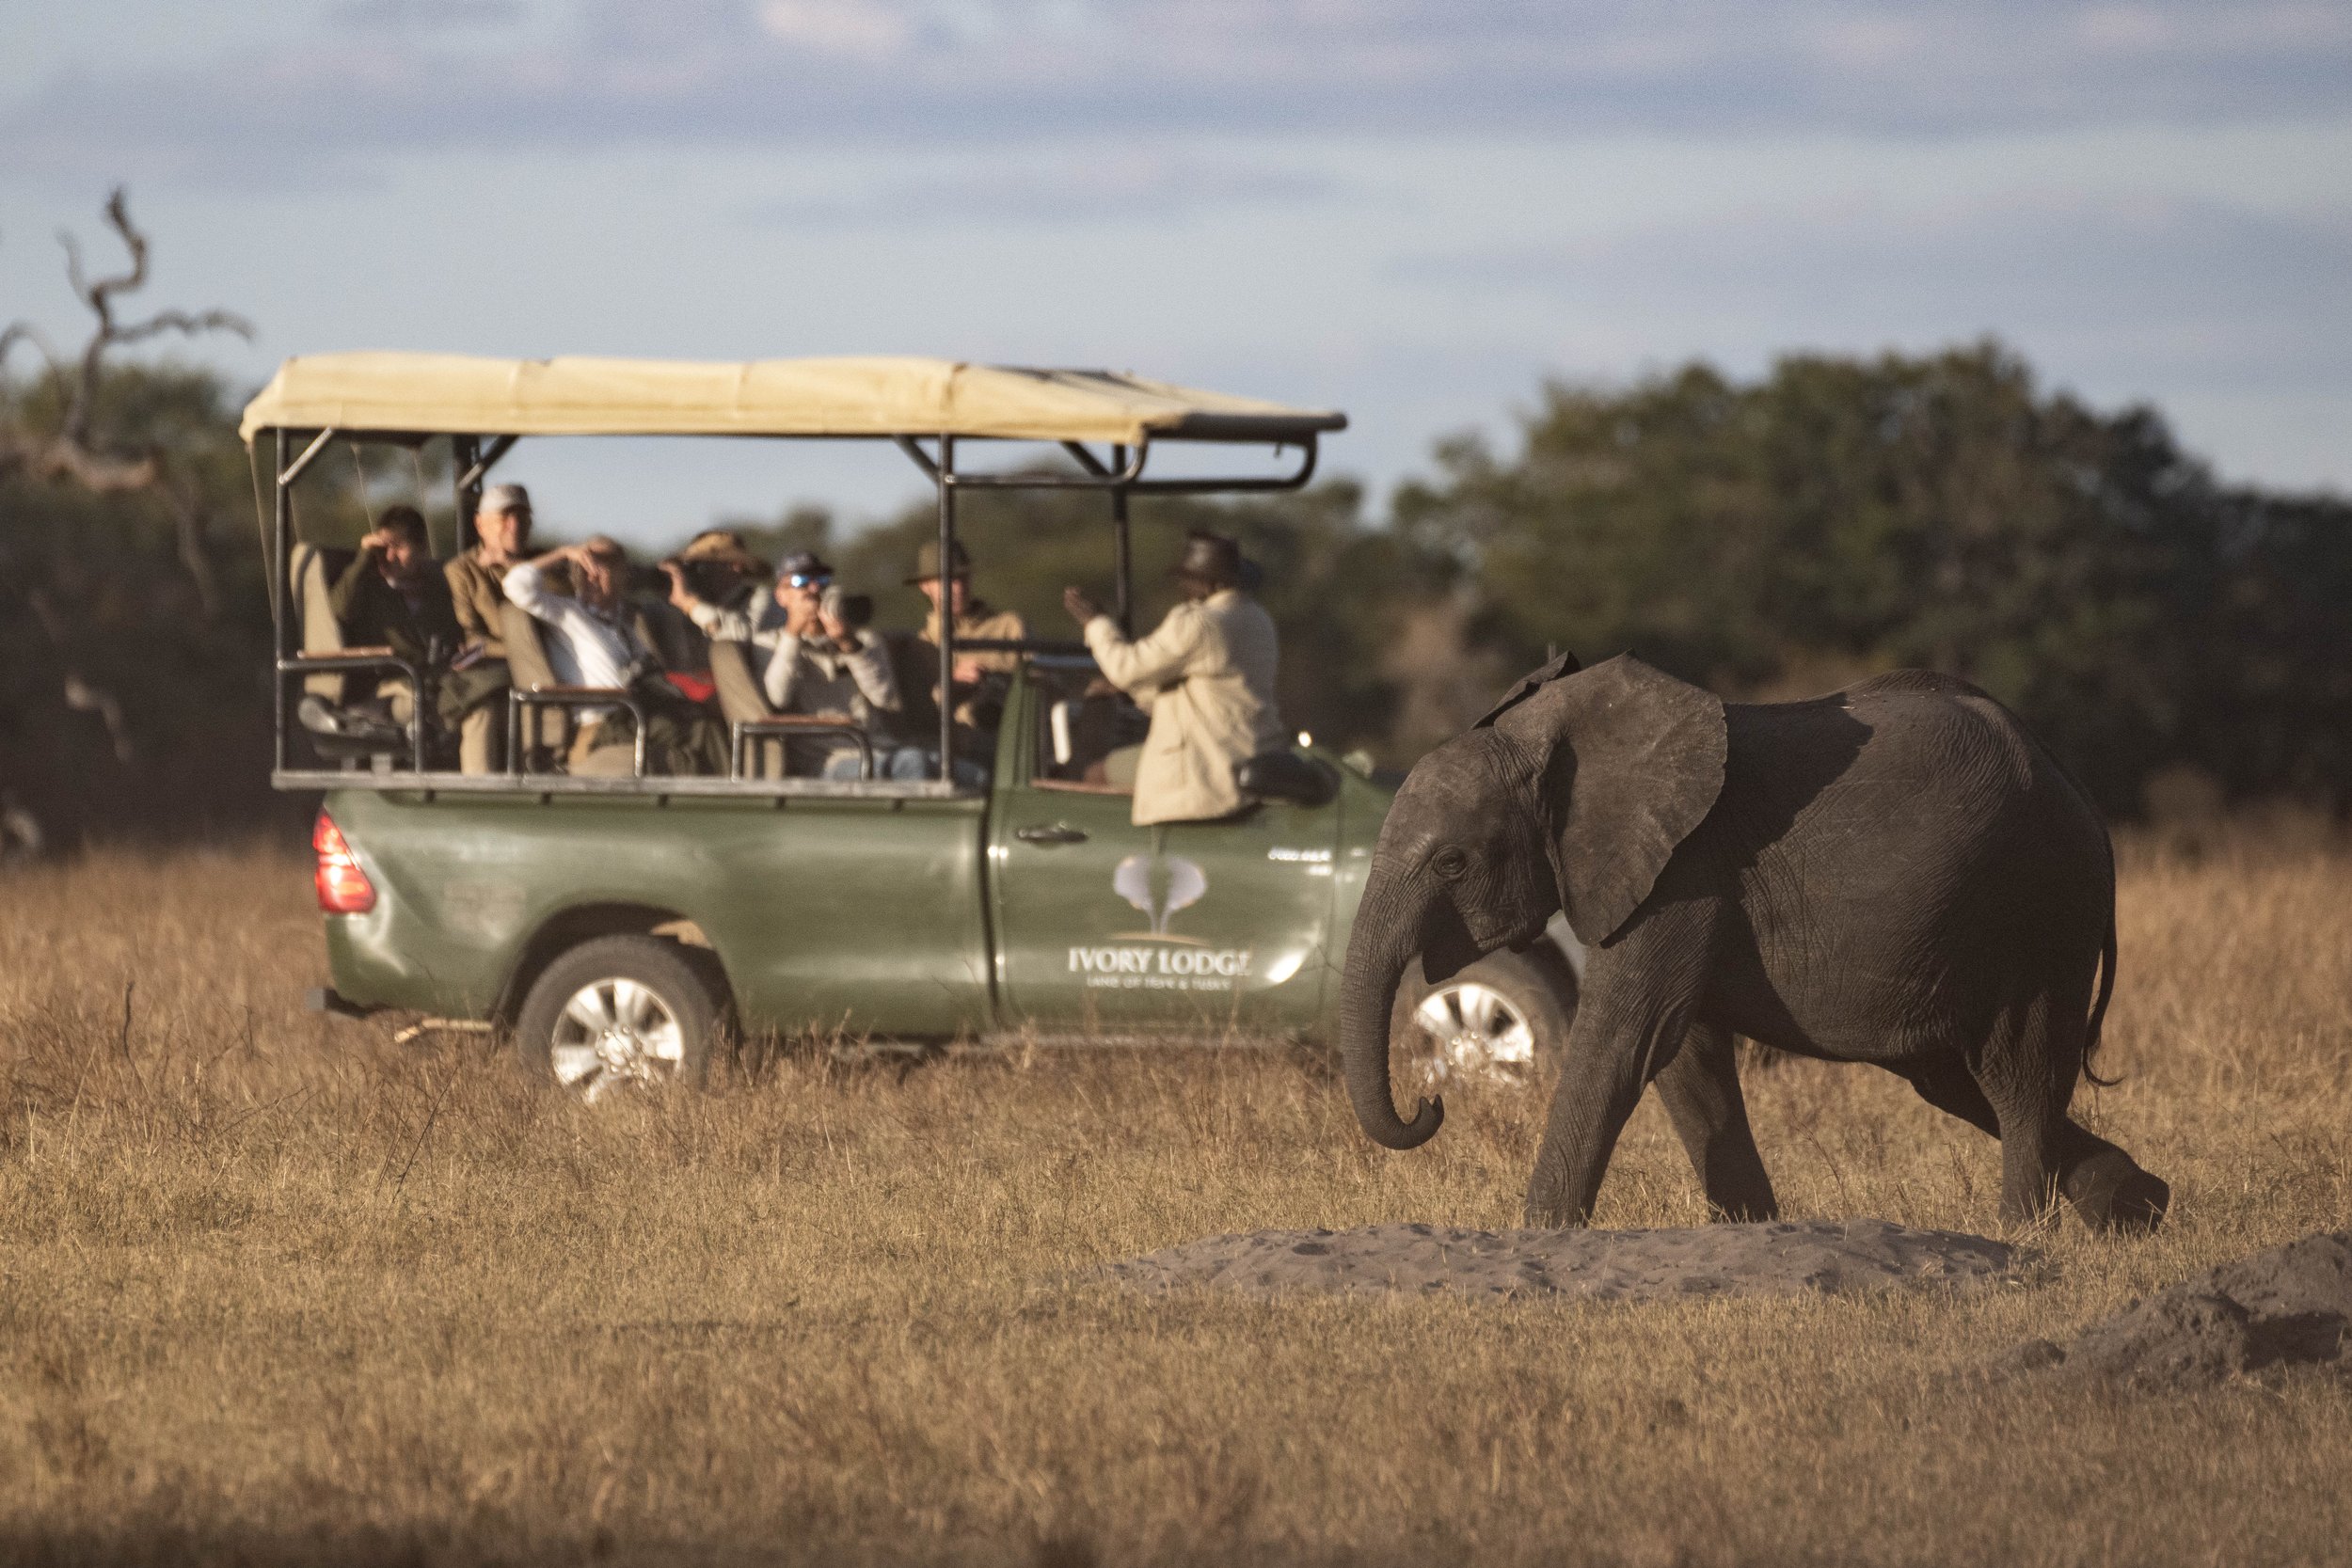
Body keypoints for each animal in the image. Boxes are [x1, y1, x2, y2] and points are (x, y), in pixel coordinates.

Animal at [1345, 648, 2164, 1241]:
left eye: (1452, 863)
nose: (1432, 1098)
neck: (1555, 738)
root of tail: (2077, 788)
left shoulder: (1685, 870)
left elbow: (1624, 1039)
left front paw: (1539, 1237)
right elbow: (1685, 1060)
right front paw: (1750, 1233)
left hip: (2042, 910)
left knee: (2017, 1073)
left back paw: (2026, 1237)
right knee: (1956, 1080)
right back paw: (2140, 1209)